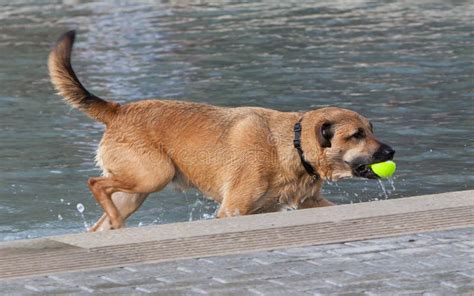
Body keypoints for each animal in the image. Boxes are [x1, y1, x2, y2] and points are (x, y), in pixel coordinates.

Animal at [49, 31, 396, 232]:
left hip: (135, 191)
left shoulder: (308, 203)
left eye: (371, 129)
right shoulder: (233, 210)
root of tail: (118, 110)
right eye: (356, 135)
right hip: (153, 174)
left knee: (100, 219)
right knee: (95, 183)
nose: (391, 151)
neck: (291, 145)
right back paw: (118, 222)